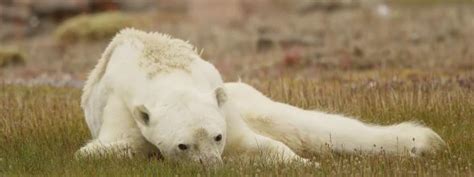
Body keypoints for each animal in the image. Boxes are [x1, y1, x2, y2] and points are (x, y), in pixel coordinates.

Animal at [76, 28, 302, 165]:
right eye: (182, 146)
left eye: (218, 136)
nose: (212, 166)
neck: (167, 72)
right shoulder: (122, 108)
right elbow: (108, 147)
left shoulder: (223, 107)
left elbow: (249, 143)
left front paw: (304, 163)